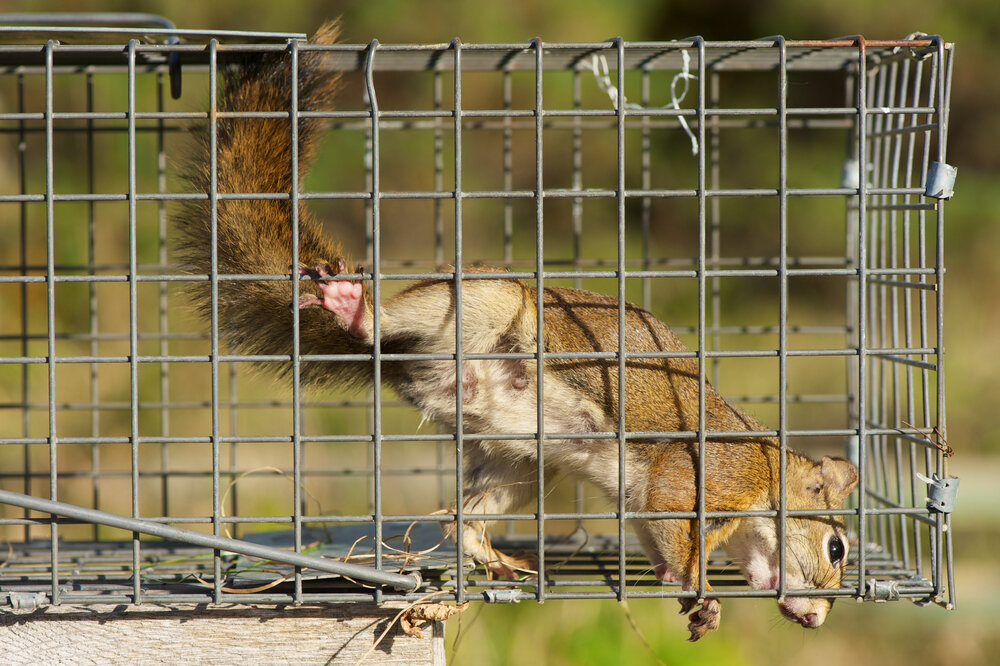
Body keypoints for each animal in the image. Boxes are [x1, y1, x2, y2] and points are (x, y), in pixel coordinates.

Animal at [174, 21, 859, 641]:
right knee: (387, 332)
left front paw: (690, 597)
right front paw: (699, 588)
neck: (767, 478)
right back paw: (356, 311)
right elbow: (673, 523)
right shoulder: (707, 474)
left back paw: (498, 559)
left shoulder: (647, 506)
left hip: (521, 464)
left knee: (459, 519)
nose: (819, 619)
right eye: (837, 549)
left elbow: (652, 533)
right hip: (481, 304)